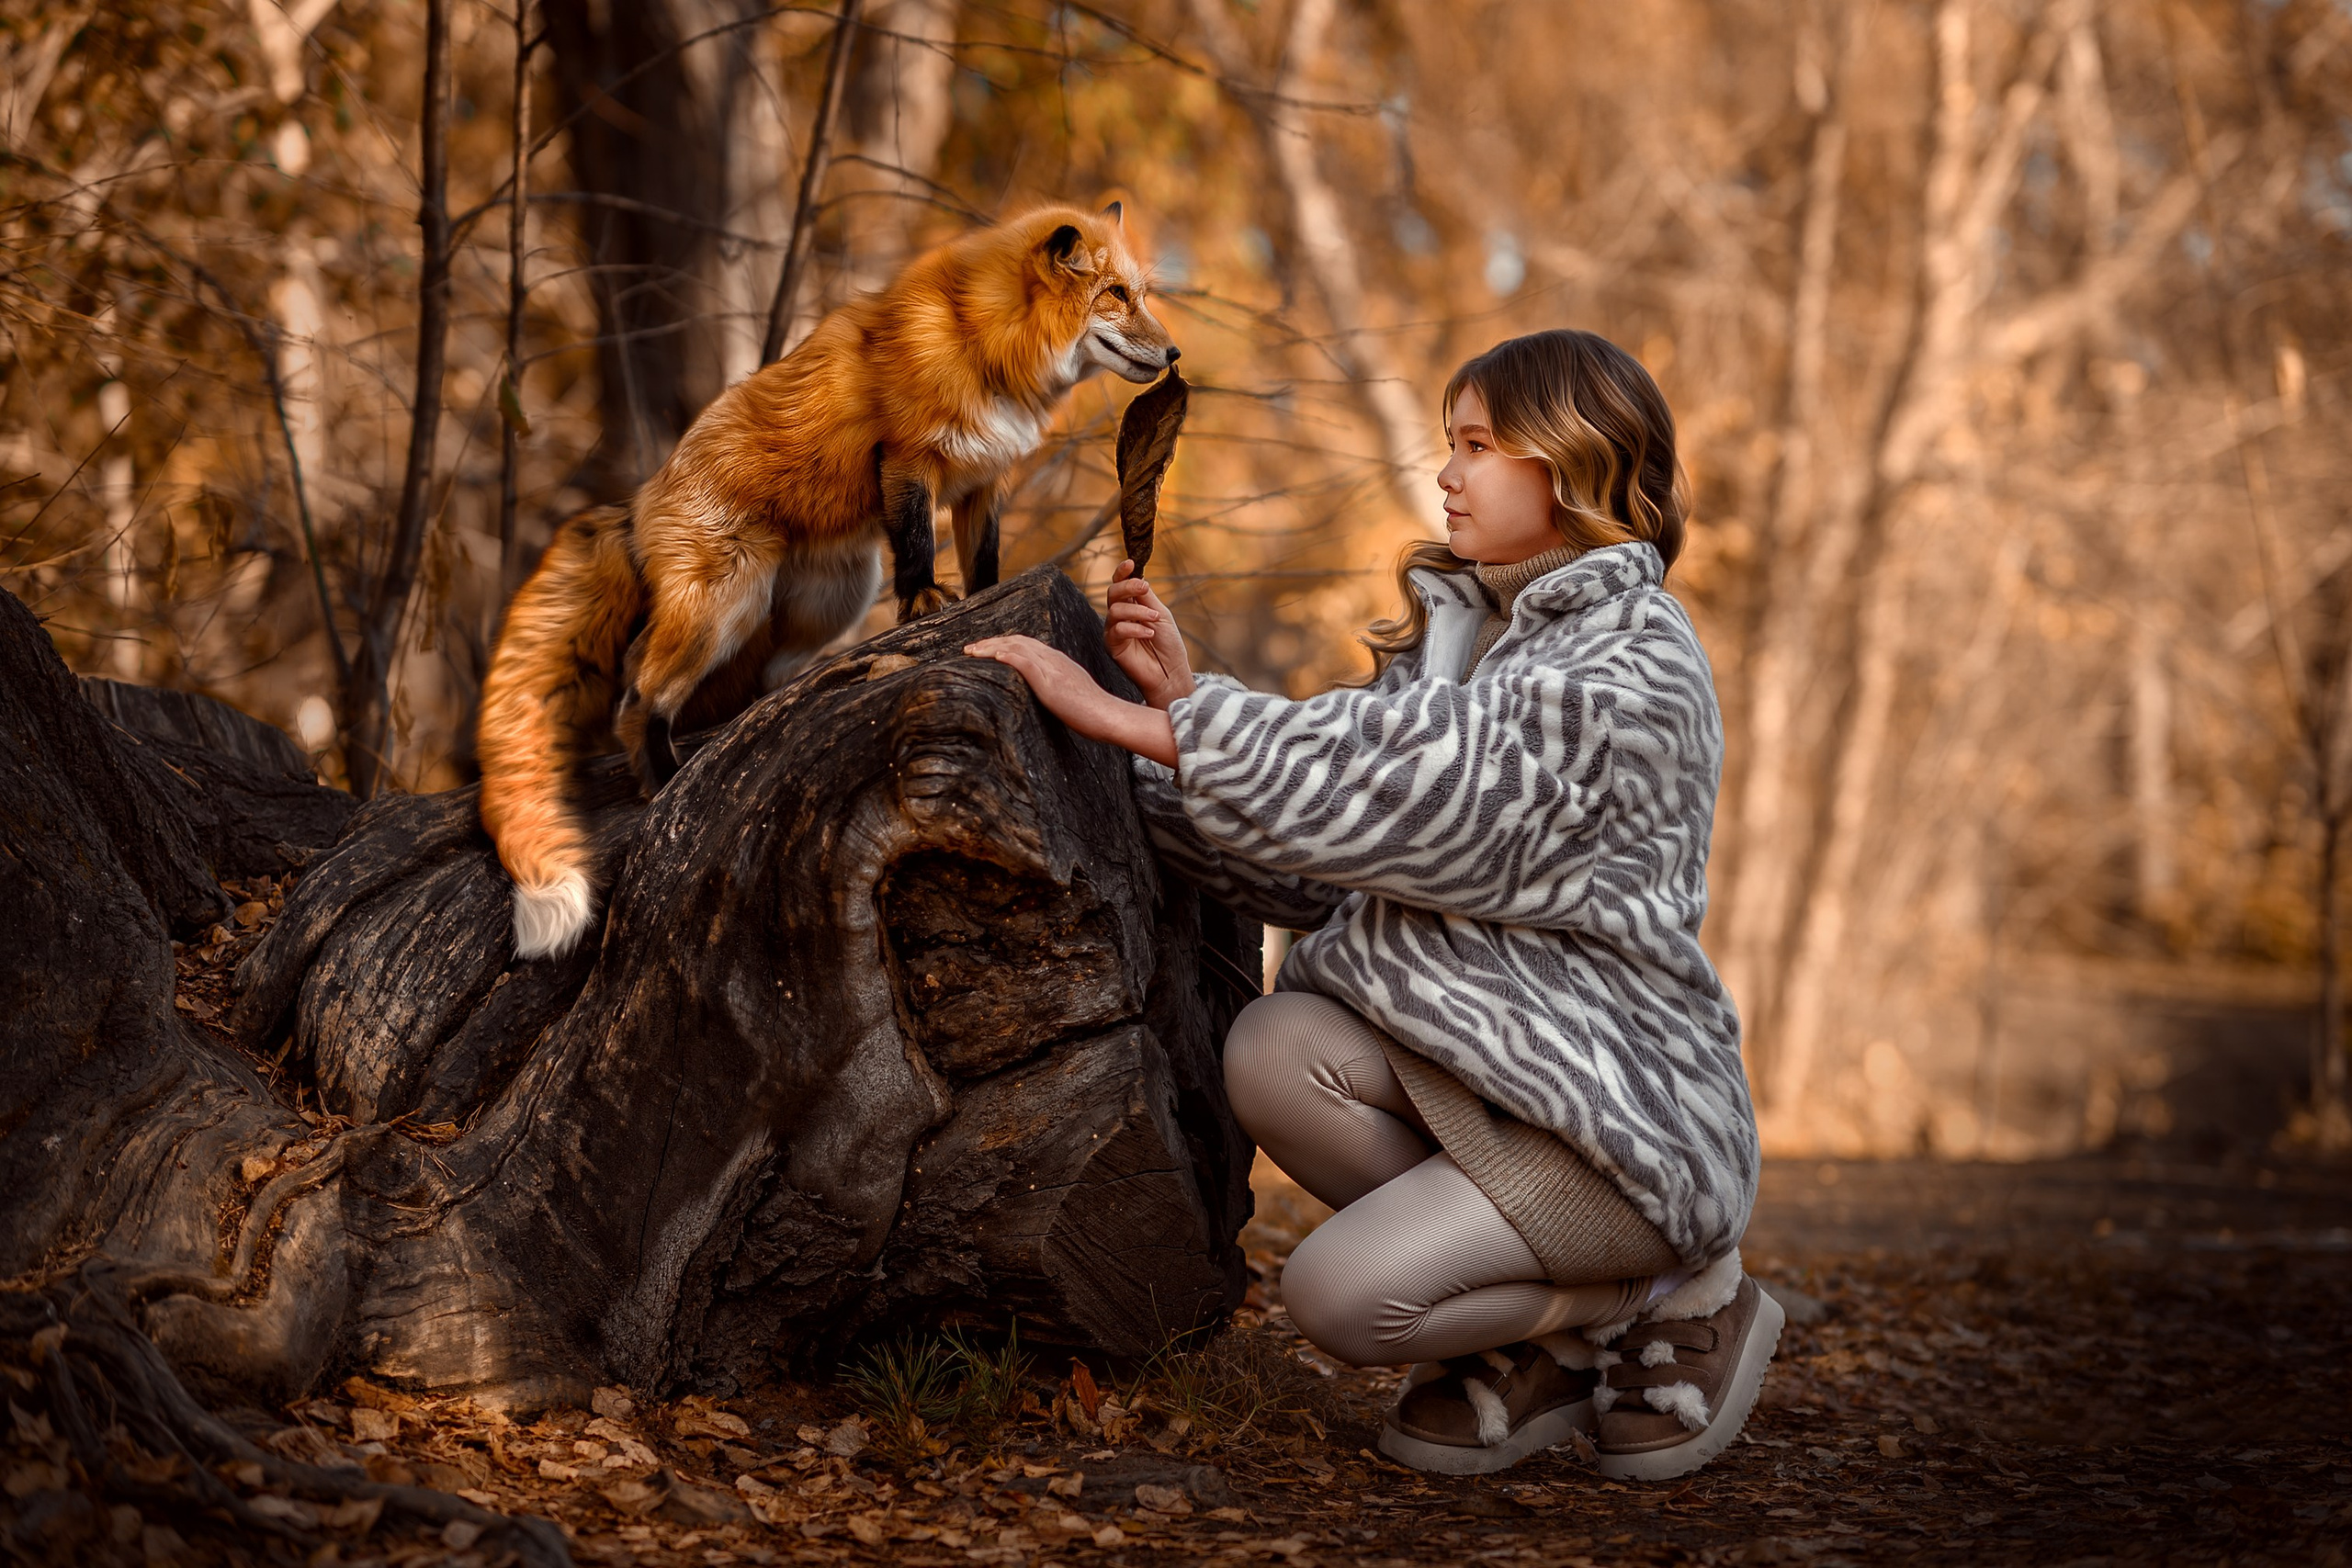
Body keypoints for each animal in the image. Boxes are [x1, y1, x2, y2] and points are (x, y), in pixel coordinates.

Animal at [476, 203, 1178, 960]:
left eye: (1139, 293)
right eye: (1117, 295)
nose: (1173, 355)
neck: (979, 340)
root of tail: (637, 505)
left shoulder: (982, 480)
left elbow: (984, 563)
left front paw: (980, 598)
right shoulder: (907, 461)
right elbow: (916, 548)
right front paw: (925, 604)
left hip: (832, 595)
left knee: (755, 678)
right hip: (728, 604)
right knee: (639, 691)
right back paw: (664, 781)